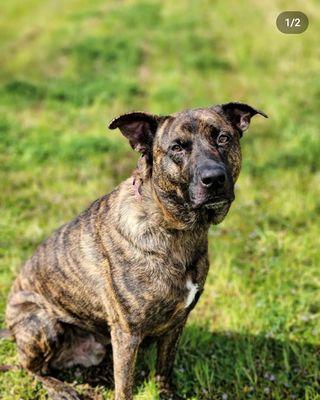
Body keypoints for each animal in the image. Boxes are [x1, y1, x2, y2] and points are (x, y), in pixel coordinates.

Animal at [5, 103, 268, 400]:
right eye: (177, 147)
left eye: (223, 138)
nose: (213, 178)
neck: (175, 228)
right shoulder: (127, 333)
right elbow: (125, 387)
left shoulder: (176, 324)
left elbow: (164, 369)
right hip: (42, 323)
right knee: (30, 367)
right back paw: (60, 387)